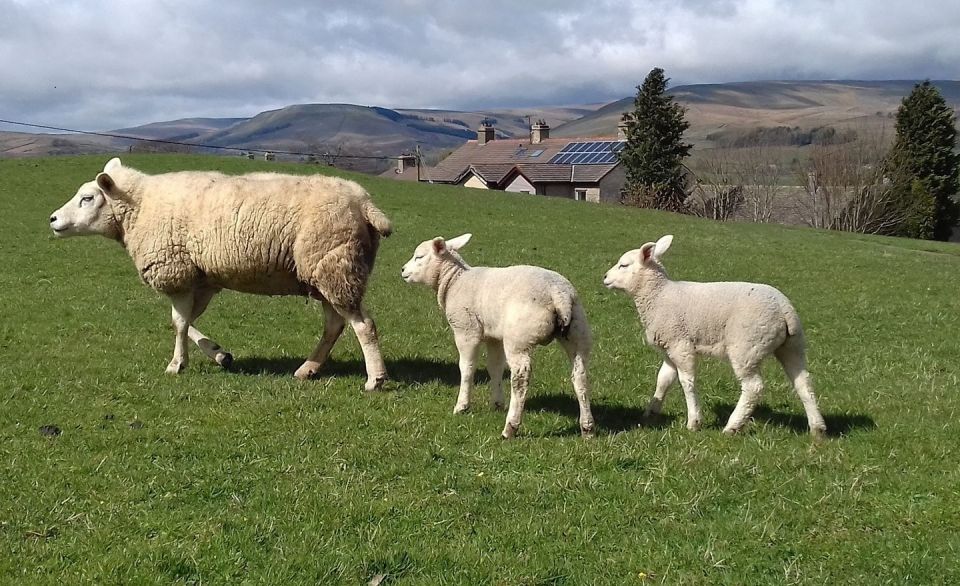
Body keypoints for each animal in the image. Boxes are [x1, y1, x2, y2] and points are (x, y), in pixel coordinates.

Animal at [47, 157, 394, 390]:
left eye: (88, 198)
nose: (52, 219)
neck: (141, 207)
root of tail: (364, 202)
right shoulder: (200, 278)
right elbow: (187, 322)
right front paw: (218, 354)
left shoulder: (177, 272)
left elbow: (178, 323)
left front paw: (176, 364)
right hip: (326, 271)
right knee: (335, 325)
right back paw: (308, 369)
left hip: (335, 265)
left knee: (364, 325)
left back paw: (374, 379)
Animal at [398, 233, 592, 438]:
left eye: (419, 257)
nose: (402, 270)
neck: (454, 280)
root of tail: (559, 295)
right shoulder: (494, 337)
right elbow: (495, 368)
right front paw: (497, 404)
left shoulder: (466, 331)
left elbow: (466, 368)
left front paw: (462, 406)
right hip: (578, 332)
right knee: (580, 374)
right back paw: (587, 427)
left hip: (519, 338)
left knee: (521, 378)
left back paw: (510, 427)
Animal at [604, 235, 828, 436]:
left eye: (624, 265)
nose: (604, 277)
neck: (659, 295)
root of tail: (784, 308)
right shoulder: (668, 349)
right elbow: (663, 381)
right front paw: (650, 413)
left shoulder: (681, 344)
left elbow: (687, 382)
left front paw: (694, 421)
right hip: (791, 345)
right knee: (803, 383)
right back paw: (817, 428)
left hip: (747, 347)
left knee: (753, 387)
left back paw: (732, 426)